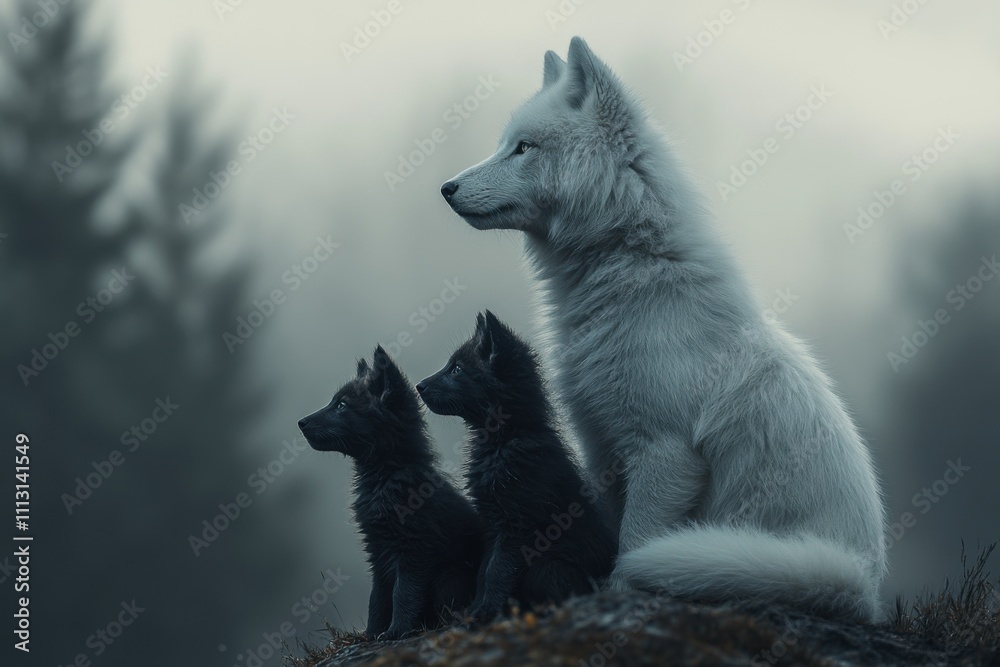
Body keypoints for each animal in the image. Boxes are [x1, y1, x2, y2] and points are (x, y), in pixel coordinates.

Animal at [298, 346, 482, 639]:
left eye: (341, 405)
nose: (301, 423)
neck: (385, 478)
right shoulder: (378, 552)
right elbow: (378, 598)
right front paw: (372, 634)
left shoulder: (414, 550)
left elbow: (402, 594)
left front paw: (396, 630)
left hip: (452, 574)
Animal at [416, 311, 617, 622]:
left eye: (457, 369)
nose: (419, 386)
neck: (504, 439)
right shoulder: (493, 523)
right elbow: (485, 570)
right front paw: (476, 609)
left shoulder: (518, 526)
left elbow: (497, 571)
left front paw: (485, 611)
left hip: (549, 565)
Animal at [439, 37, 887, 621]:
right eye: (504, 145)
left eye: (523, 148)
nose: (446, 187)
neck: (629, 269)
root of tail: (865, 585)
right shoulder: (602, 447)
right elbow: (607, 532)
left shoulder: (663, 453)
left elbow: (633, 543)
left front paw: (617, 595)